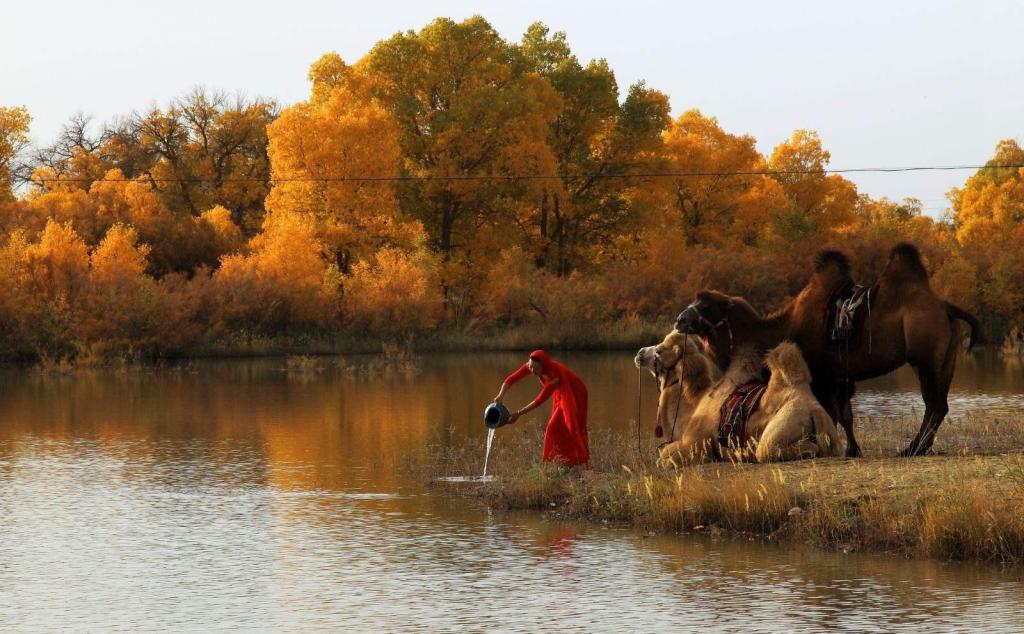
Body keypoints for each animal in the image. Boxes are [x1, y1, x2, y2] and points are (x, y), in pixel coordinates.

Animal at [675, 241, 978, 456]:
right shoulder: (840, 376)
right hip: (947, 358)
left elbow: (832, 413)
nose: (680, 320)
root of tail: (945, 307)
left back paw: (912, 449)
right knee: (939, 404)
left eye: (705, 306)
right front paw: (853, 450)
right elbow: (845, 415)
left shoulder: (823, 375)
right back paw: (918, 448)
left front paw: (839, 448)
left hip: (924, 357)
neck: (783, 327)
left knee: (933, 404)